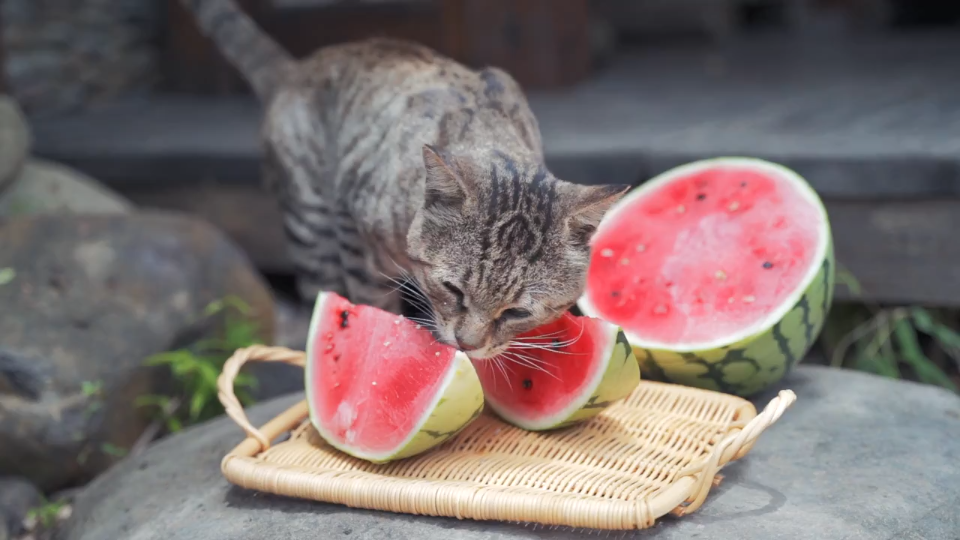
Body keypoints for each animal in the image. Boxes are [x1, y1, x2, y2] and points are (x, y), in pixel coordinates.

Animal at [180, 2, 632, 360]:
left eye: (518, 312)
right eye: (453, 290)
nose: (467, 345)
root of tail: (298, 67)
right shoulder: (357, 240)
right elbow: (369, 307)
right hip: (311, 229)